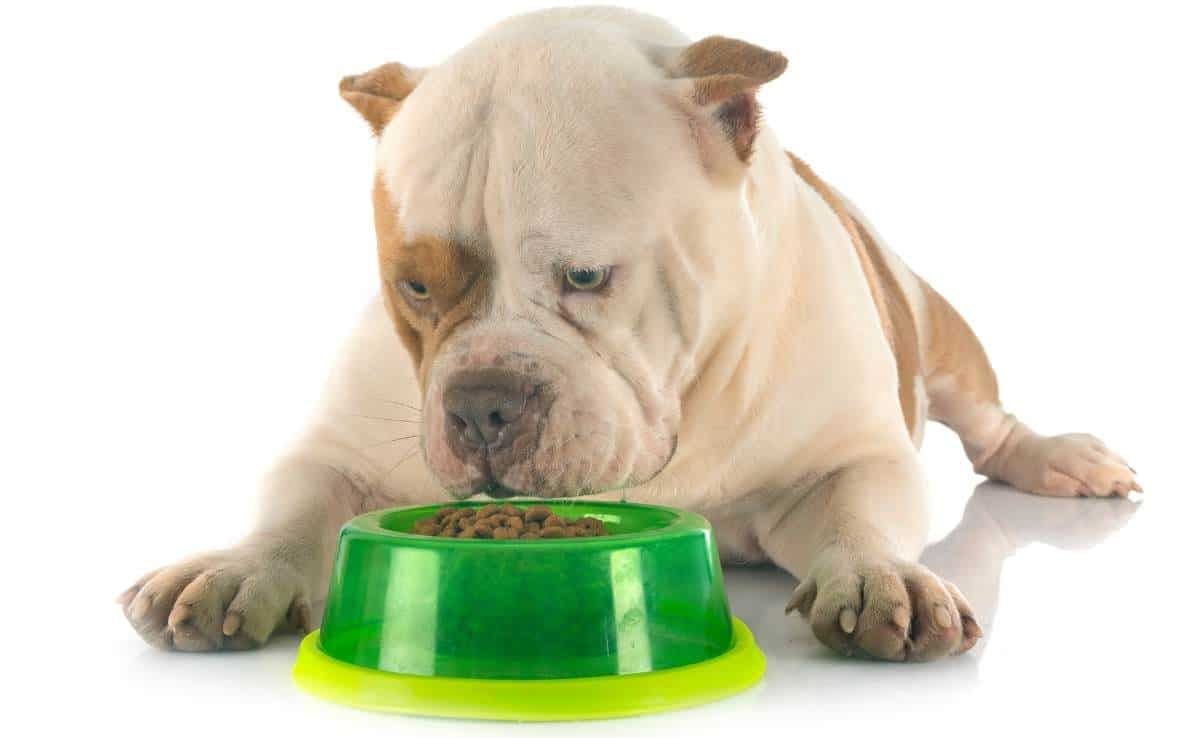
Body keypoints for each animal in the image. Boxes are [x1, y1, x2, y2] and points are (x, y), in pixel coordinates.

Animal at [117, 7, 1137, 662]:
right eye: (414, 285)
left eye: (584, 277)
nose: (482, 406)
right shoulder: (339, 451)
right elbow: (291, 506)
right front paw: (234, 570)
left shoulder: (853, 456)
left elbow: (863, 511)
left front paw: (883, 577)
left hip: (940, 331)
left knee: (990, 422)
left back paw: (1061, 458)